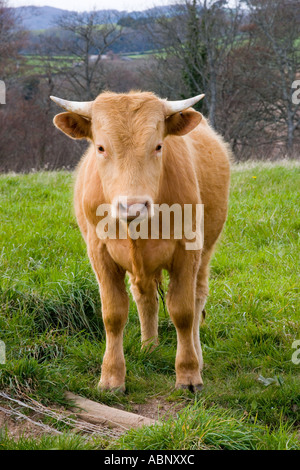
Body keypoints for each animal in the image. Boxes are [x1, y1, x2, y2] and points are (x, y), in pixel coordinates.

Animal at [50, 90, 231, 392]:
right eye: (101, 148)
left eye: (158, 146)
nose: (133, 206)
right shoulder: (100, 253)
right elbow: (113, 315)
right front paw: (111, 377)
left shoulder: (187, 250)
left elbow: (183, 312)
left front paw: (188, 374)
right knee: (145, 297)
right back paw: (149, 347)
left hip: (206, 249)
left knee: (197, 298)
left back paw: (197, 355)